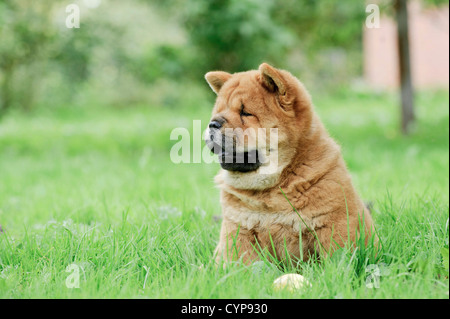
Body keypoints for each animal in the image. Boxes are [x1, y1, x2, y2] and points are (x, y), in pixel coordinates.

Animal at [204, 62, 376, 264]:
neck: (269, 189)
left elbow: (336, 257)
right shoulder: (238, 229)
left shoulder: (333, 223)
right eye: (219, 111)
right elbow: (241, 261)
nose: (212, 123)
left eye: (245, 113)